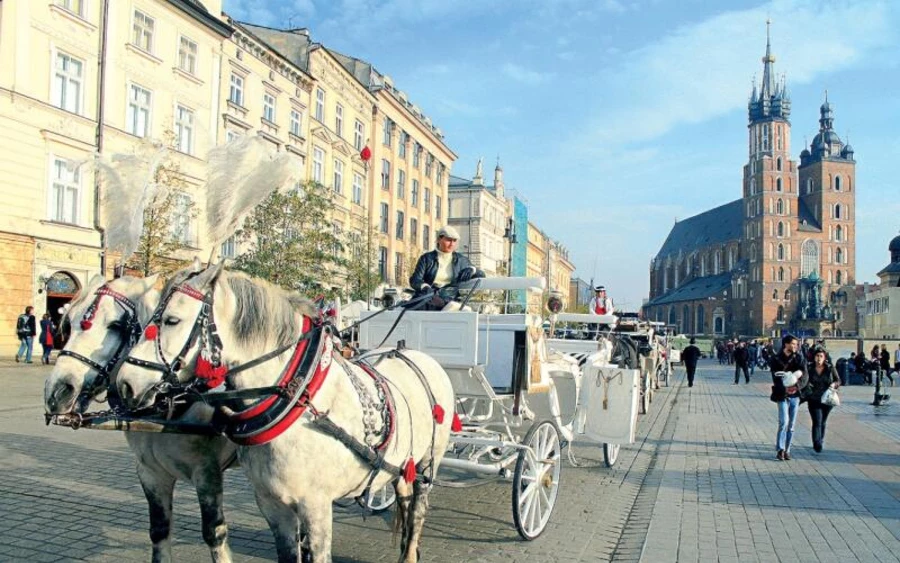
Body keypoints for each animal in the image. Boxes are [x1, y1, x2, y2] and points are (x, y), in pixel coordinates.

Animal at [44, 274, 241, 563]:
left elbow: (214, 534)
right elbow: (159, 531)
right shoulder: (150, 473)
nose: (57, 391)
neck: (167, 405)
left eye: (116, 325)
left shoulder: (208, 472)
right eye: (68, 324)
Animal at [118, 266, 458, 563]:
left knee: (416, 514)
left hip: (428, 464)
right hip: (403, 464)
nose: (124, 383)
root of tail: (415, 353)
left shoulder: (316, 506)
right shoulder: (271, 503)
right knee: (403, 500)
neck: (298, 399)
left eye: (172, 320)